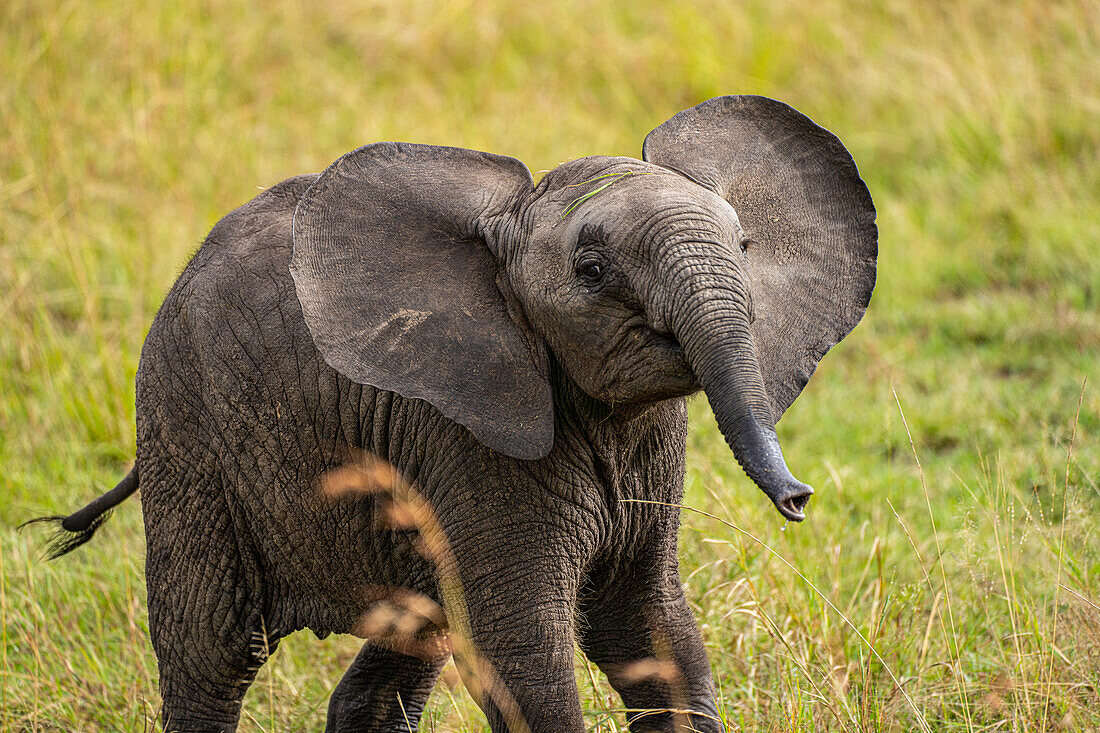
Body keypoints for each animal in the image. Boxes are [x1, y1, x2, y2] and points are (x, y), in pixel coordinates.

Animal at [27, 96, 875, 730]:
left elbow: (648, 628)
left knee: (405, 643)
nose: (799, 499)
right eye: (592, 271)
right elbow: (522, 653)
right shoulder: (470, 436)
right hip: (187, 429)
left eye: (745, 244)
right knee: (209, 650)